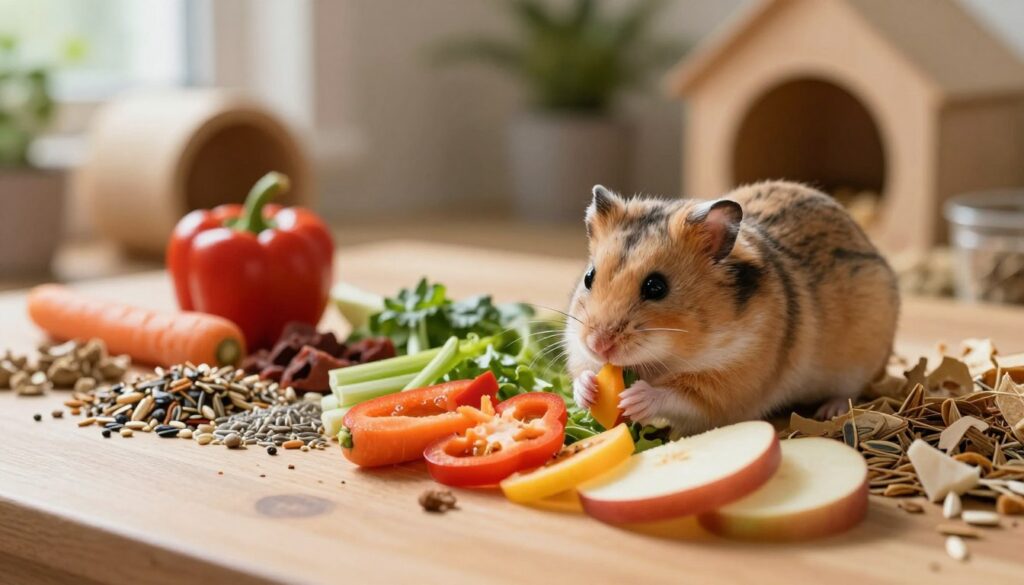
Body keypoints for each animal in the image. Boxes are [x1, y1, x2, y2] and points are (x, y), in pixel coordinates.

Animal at [566, 180, 899, 438]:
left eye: (656, 287)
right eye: (589, 277)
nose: (598, 346)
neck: (667, 357)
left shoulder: (728, 387)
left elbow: (678, 396)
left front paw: (635, 397)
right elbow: (581, 372)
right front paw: (588, 389)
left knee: (849, 392)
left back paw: (830, 410)